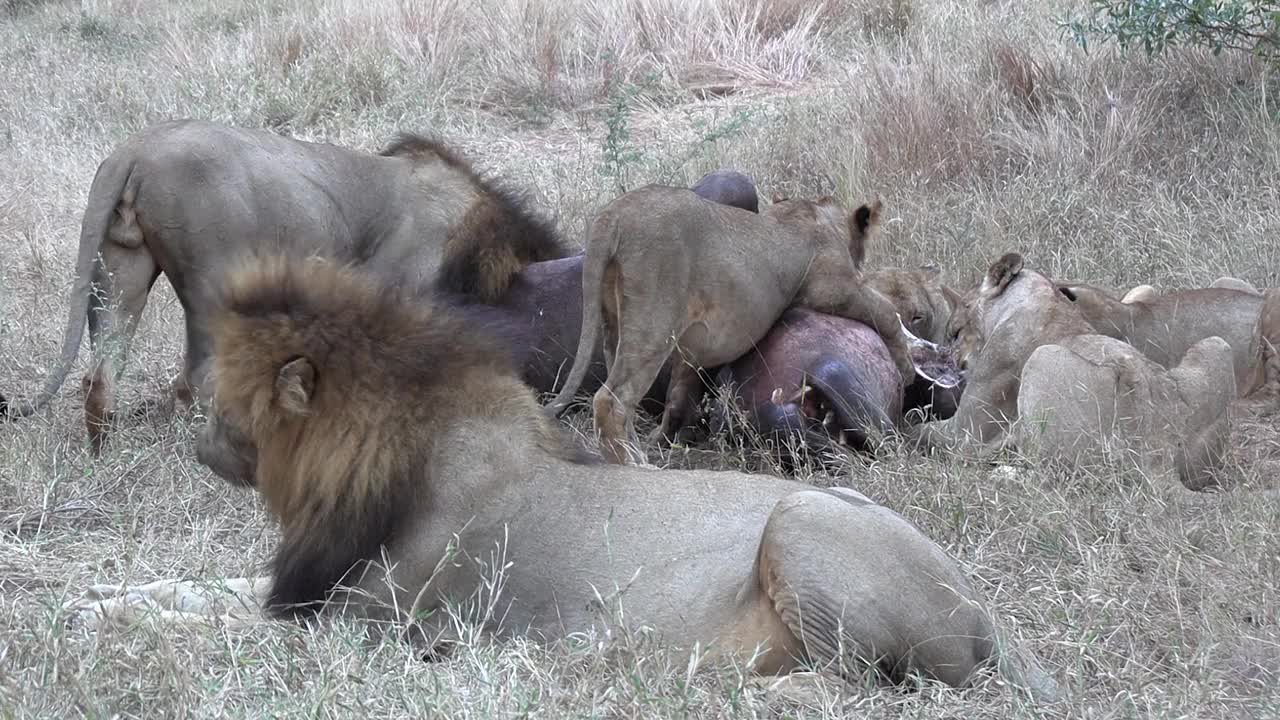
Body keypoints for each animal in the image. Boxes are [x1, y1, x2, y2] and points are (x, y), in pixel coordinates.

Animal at [1, 119, 565, 450]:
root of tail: (134, 151)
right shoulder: (390, 290)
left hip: (121, 267)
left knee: (101, 377)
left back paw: (102, 455)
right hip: (212, 277)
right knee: (197, 377)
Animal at [64, 253, 1059, 702]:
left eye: (231, 401)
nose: (200, 443)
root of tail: (987, 615)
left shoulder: (368, 621)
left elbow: (218, 617)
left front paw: (102, 618)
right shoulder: (308, 585)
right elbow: (198, 588)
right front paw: (89, 600)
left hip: (806, 519)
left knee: (845, 684)